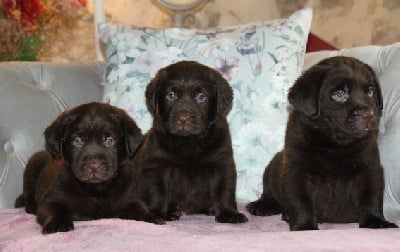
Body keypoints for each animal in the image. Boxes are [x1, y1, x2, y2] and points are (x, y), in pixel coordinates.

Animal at [15, 101, 162, 233]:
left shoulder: (130, 198)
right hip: (35, 162)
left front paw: (152, 219)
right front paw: (57, 224)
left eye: (109, 140)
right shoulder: (50, 199)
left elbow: (140, 209)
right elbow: (56, 209)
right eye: (77, 141)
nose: (94, 166)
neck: (95, 190)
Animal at [138, 61, 248, 222]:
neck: (188, 141)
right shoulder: (156, 164)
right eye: (171, 95)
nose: (183, 118)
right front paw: (157, 213)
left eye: (201, 97)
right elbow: (156, 191)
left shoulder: (222, 163)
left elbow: (224, 190)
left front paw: (229, 213)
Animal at [247, 56, 396, 230]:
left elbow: (371, 197)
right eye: (339, 95)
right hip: (272, 168)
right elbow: (301, 200)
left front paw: (376, 221)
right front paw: (304, 226)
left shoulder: (370, 168)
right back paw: (263, 205)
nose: (369, 115)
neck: (335, 144)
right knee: (269, 192)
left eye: (370, 92)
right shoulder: (297, 170)